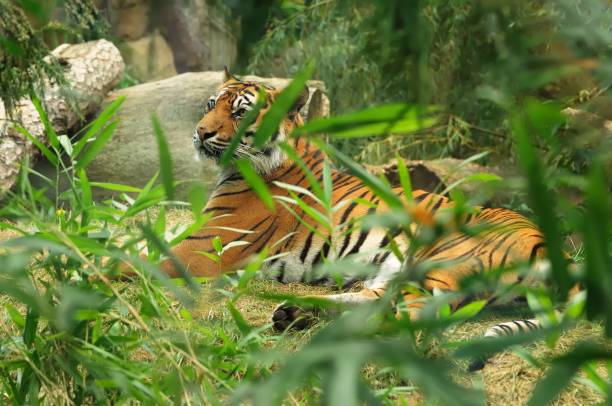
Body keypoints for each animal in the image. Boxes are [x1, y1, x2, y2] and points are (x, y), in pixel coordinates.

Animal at [135, 68, 580, 370]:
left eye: (241, 114)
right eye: (211, 105)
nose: (200, 133)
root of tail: (550, 246)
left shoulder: (203, 249)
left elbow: (136, 260)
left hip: (437, 264)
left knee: (404, 318)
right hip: (400, 270)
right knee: (370, 302)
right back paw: (297, 315)